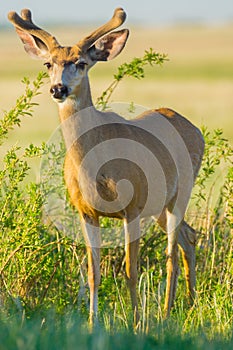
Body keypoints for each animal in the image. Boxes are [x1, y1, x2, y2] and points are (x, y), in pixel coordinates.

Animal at [7, 8, 204, 326]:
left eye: (81, 63)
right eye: (48, 63)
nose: (58, 88)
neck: (97, 169)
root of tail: (195, 129)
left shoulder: (133, 206)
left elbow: (130, 270)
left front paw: (136, 322)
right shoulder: (86, 211)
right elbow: (93, 273)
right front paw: (92, 322)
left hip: (180, 191)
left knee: (172, 252)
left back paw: (166, 313)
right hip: (160, 205)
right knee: (189, 237)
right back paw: (188, 304)